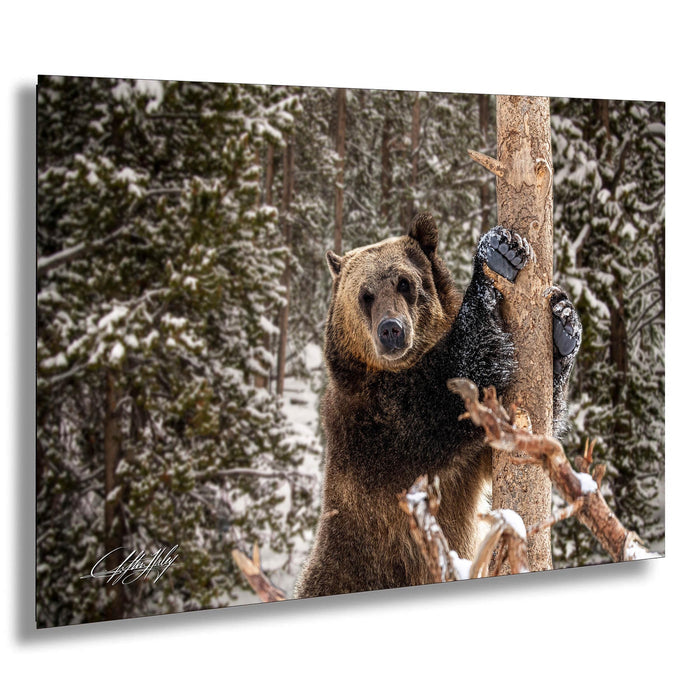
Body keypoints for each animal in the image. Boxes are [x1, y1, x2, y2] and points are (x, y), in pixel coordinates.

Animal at [294, 212, 581, 598]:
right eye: (365, 295)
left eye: (405, 283)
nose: (391, 330)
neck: (400, 368)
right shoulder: (380, 427)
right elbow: (453, 386)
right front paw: (497, 255)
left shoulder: (470, 461)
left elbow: (511, 434)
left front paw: (563, 324)